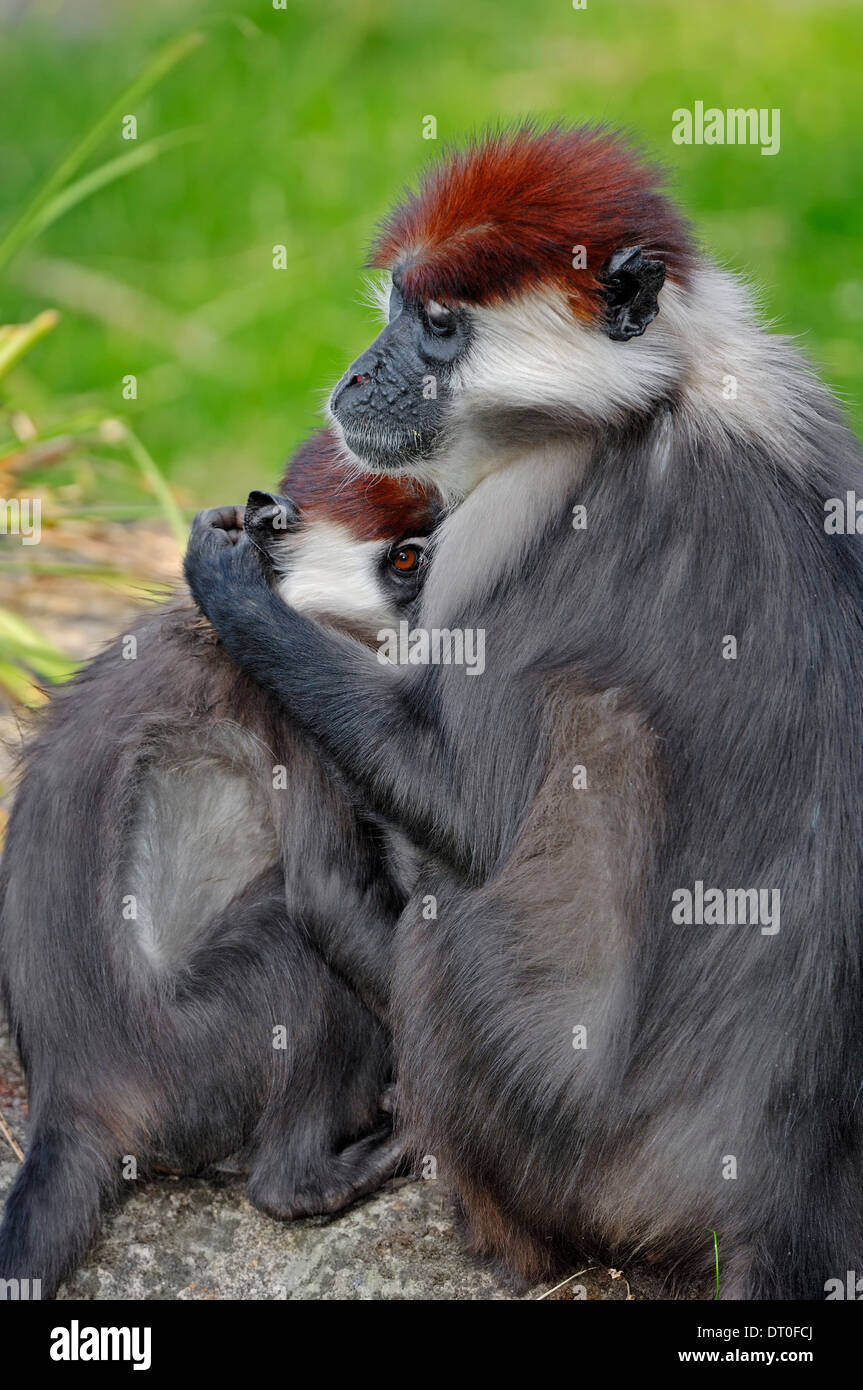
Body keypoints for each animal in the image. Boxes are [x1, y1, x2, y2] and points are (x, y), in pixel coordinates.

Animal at [0, 428, 441, 1295]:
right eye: (408, 559)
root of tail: (69, 1093)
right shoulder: (294, 699)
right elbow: (328, 896)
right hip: (197, 1057)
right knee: (293, 945)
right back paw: (306, 1176)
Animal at [183, 122, 863, 1301]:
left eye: (437, 327)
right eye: (397, 305)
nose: (358, 373)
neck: (658, 394)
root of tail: (780, 1193)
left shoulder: (514, 513)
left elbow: (462, 810)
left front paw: (234, 584)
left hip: (553, 1129)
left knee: (458, 901)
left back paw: (489, 1234)